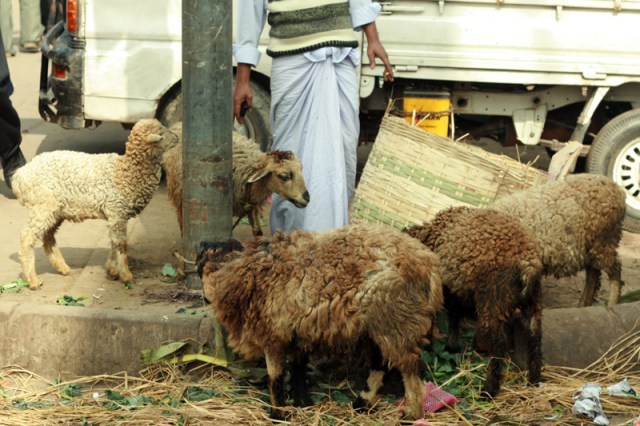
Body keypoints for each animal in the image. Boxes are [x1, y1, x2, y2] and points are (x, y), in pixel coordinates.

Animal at [12, 118, 176, 290]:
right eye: (161, 133)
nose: (177, 137)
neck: (125, 172)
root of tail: (19, 176)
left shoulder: (116, 215)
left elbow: (114, 242)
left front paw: (112, 270)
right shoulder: (117, 211)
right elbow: (121, 244)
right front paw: (126, 275)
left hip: (55, 210)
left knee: (48, 237)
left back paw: (63, 268)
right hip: (43, 206)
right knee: (27, 236)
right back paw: (33, 280)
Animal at [161, 123, 309, 236]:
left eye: (301, 169)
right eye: (284, 176)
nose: (307, 198)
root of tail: (177, 124)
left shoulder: (251, 205)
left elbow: (257, 232)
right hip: (179, 194)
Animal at [196, 224, 444, 420]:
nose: (204, 297)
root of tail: (430, 267)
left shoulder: (273, 334)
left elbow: (275, 377)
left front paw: (278, 413)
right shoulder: (297, 331)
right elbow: (298, 368)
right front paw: (302, 402)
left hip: (396, 321)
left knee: (412, 374)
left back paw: (412, 415)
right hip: (377, 327)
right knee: (380, 364)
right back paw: (362, 404)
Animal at [404, 206, 544, 397]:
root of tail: (528, 263)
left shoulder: (446, 287)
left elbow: (450, 316)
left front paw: (445, 345)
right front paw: (451, 346)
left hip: (494, 297)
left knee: (499, 343)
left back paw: (489, 389)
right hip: (532, 302)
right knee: (535, 336)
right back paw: (534, 380)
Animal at [490, 173, 626, 309]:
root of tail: (617, 188)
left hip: (604, 242)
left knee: (615, 271)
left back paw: (611, 304)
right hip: (590, 248)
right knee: (593, 275)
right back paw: (583, 305)